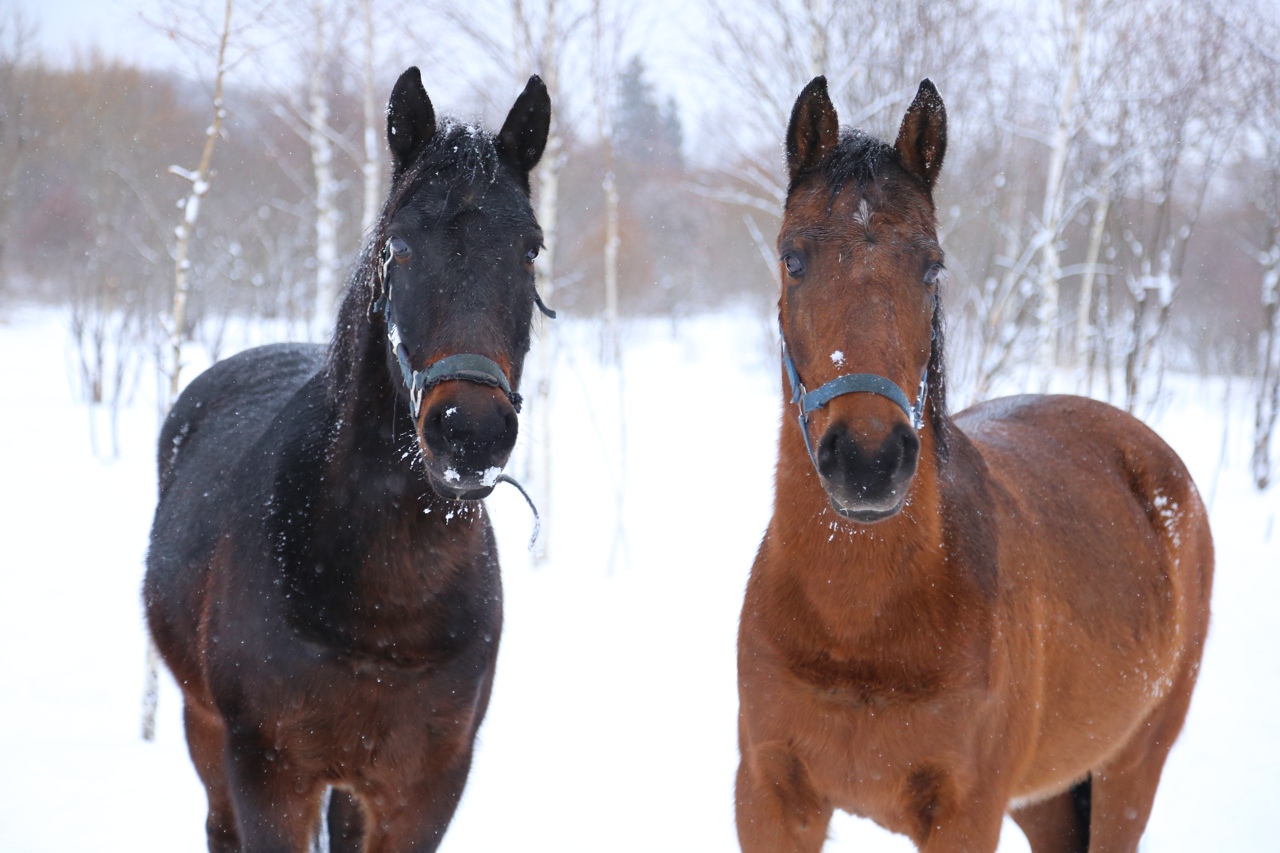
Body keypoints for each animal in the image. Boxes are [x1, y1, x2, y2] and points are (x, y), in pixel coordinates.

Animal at [144, 68, 550, 850]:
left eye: (531, 249)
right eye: (399, 244)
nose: (471, 432)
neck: (387, 598)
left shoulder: (423, 788)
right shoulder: (268, 773)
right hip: (204, 729)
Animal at [737, 74, 1213, 850]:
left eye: (933, 266)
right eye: (792, 258)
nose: (868, 461)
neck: (857, 621)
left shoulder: (966, 814)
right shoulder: (769, 800)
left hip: (1130, 772)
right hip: (1046, 799)